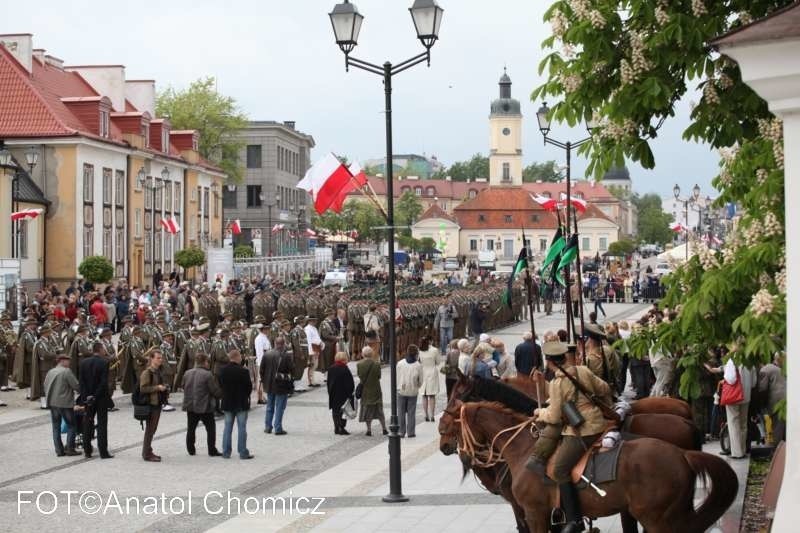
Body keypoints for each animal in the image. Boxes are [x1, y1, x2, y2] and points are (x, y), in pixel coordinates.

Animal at [456, 402, 736, 528]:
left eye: (453, 422)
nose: (457, 452)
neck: (525, 450)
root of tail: (682, 454)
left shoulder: (535, 513)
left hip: (656, 518)